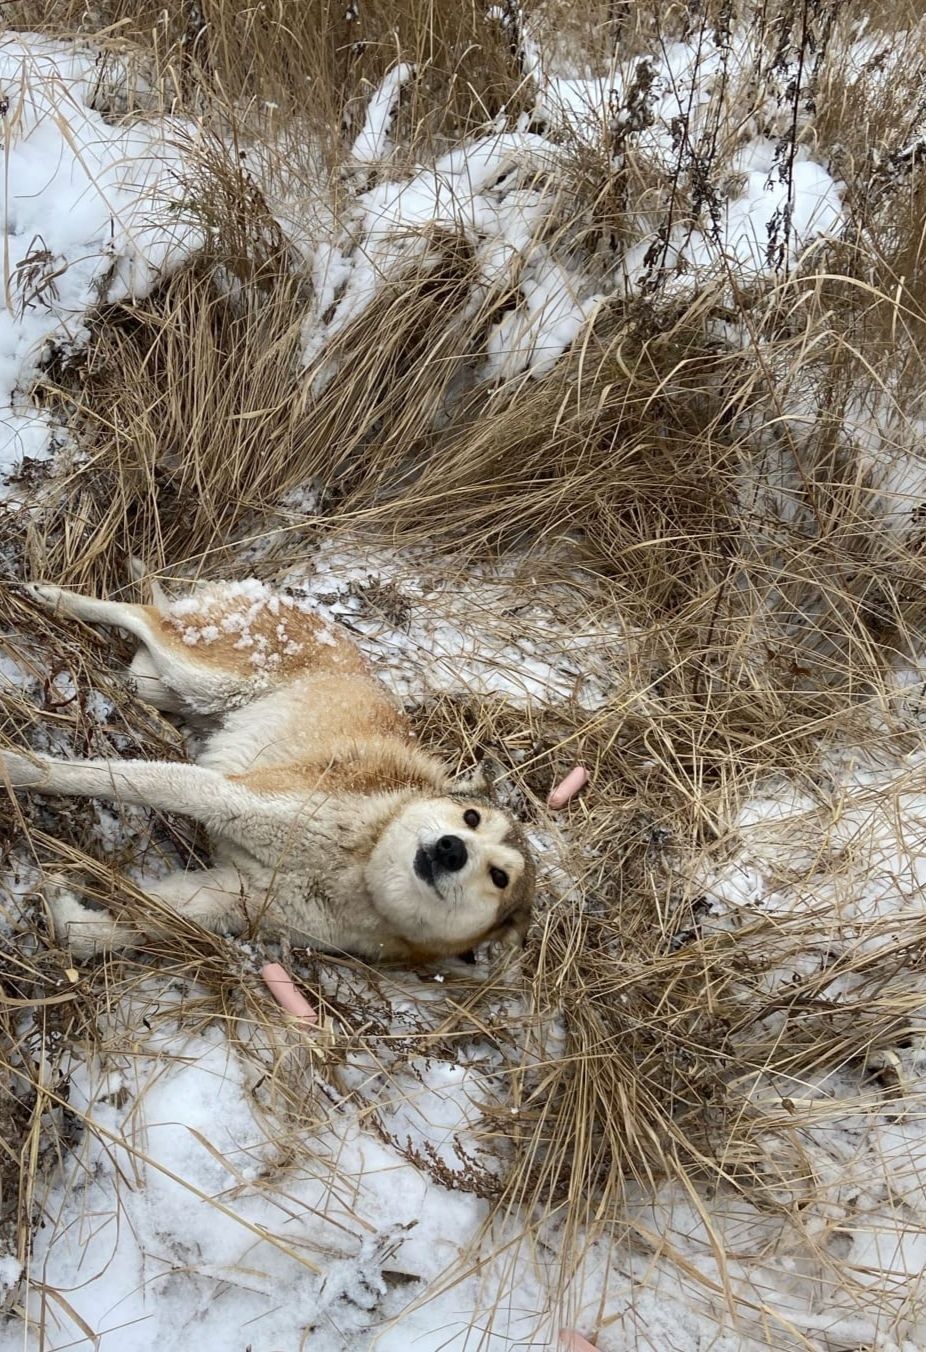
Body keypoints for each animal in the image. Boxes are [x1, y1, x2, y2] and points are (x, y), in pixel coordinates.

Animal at [0, 567, 535, 962]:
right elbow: (91, 777)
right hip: (199, 671)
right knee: (142, 613)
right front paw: (14, 768)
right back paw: (50, 595)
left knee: (143, 654)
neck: (356, 867)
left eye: (499, 877)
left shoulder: (227, 899)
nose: (451, 849)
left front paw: (60, 906)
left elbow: (103, 933)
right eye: (471, 818)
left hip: (171, 688)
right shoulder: (225, 793)